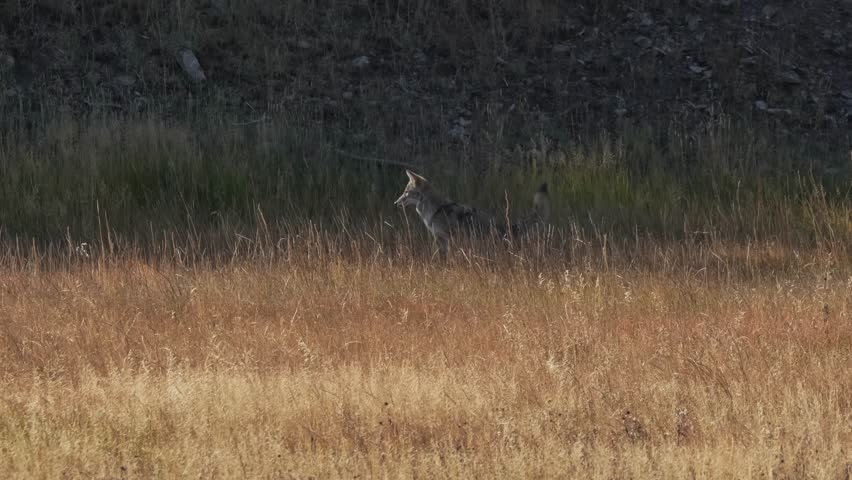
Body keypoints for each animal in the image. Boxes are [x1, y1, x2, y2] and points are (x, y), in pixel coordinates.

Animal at [394, 170, 550, 250]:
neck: (437, 209)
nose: (395, 203)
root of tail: (507, 225)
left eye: (406, 192)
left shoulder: (447, 240)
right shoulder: (443, 240)